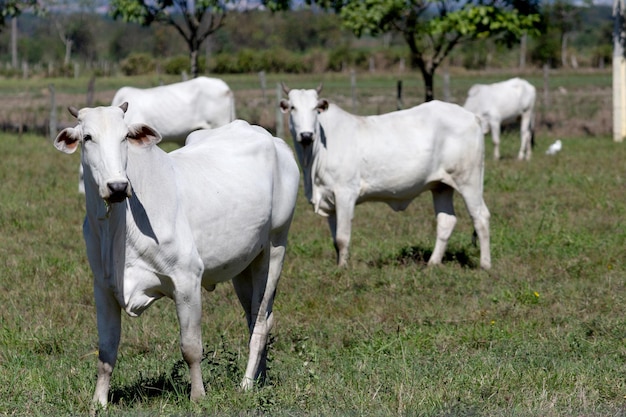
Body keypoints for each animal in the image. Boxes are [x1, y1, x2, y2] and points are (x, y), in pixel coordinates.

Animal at [51, 103, 300, 410]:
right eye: (87, 137)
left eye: (125, 136)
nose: (117, 187)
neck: (119, 228)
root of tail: (275, 141)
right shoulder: (103, 288)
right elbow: (106, 352)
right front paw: (98, 402)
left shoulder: (187, 280)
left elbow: (191, 347)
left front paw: (198, 396)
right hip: (245, 265)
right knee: (257, 317)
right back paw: (259, 379)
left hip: (275, 247)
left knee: (261, 324)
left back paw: (246, 384)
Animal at [280, 83, 490, 270]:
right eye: (292, 107)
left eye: (315, 108)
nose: (306, 135)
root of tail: (472, 116)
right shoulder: (329, 199)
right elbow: (335, 240)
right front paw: (339, 265)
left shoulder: (345, 193)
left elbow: (342, 238)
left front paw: (343, 269)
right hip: (441, 186)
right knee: (446, 221)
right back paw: (433, 263)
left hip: (469, 180)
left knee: (481, 217)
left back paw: (485, 265)